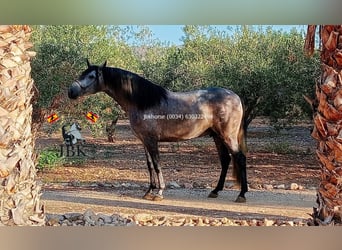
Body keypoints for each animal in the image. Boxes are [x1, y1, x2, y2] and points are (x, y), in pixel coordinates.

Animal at [68, 60, 247, 203]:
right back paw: (215, 191)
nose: (71, 92)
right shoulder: (144, 141)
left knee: (240, 158)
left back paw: (242, 194)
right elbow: (149, 166)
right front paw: (149, 191)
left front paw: (159, 192)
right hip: (217, 136)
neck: (142, 101)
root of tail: (235, 96)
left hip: (227, 136)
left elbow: (157, 164)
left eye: (92, 76)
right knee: (225, 160)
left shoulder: (152, 140)